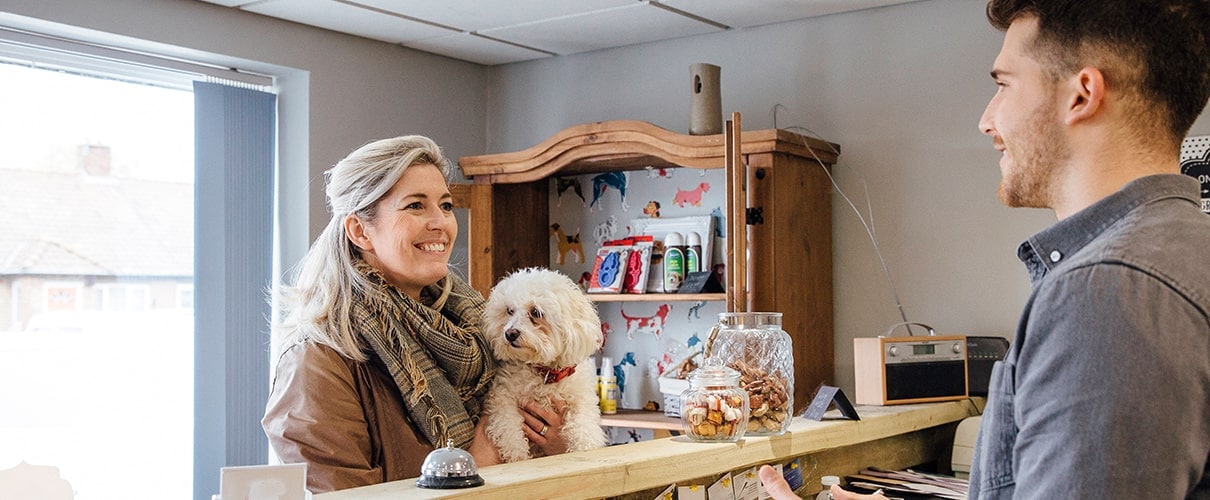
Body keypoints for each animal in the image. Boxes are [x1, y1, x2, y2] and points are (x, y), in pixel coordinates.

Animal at [479, 266, 605, 462]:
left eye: (536, 313)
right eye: (509, 310)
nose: (510, 333)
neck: (545, 373)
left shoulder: (581, 400)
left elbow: (584, 424)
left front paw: (585, 447)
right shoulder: (502, 397)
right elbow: (508, 427)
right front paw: (518, 454)